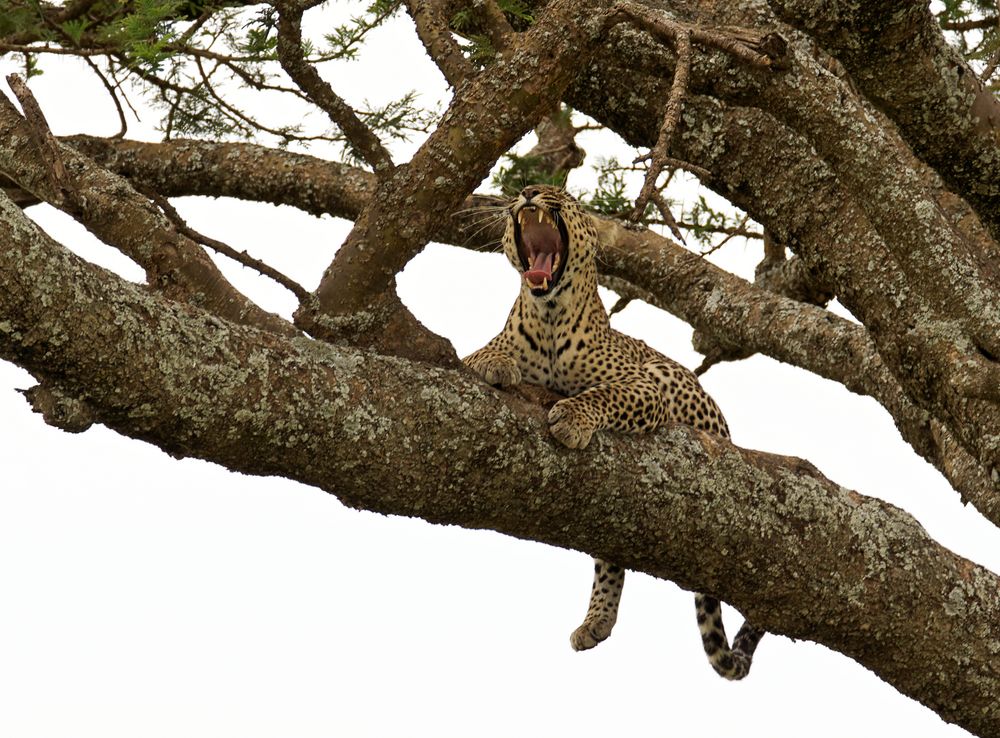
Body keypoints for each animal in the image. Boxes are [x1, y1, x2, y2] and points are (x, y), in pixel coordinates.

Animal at [464, 184, 760, 680]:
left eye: (559, 194)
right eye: (529, 191)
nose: (528, 192)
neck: (548, 314)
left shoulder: (642, 386)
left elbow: (604, 395)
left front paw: (571, 417)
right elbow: (483, 353)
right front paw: (495, 362)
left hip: (670, 377)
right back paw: (597, 620)